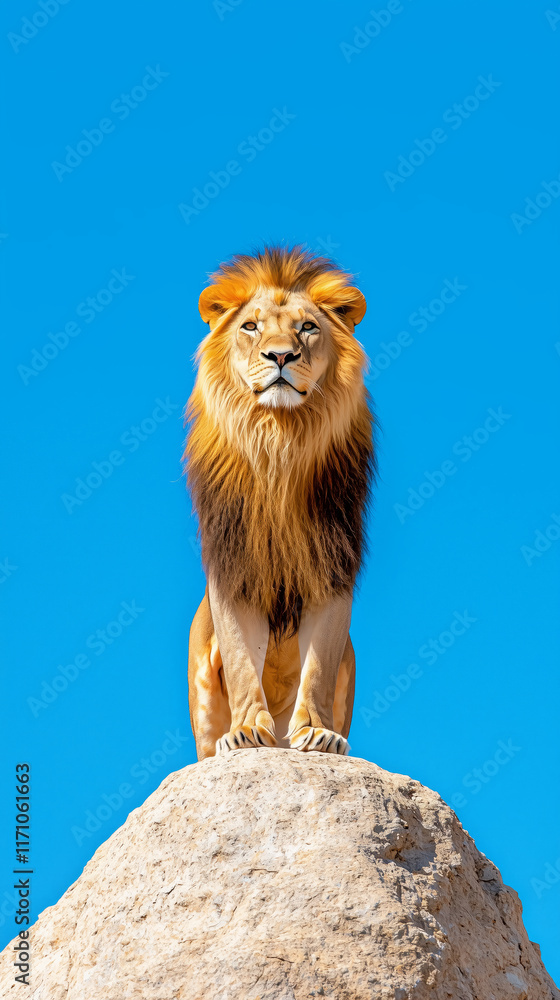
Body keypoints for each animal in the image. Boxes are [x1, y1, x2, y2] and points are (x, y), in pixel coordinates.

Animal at [184, 246, 375, 761]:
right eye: (251, 327)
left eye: (306, 327)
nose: (281, 355)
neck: (279, 441)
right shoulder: (233, 568)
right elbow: (241, 659)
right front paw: (247, 731)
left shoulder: (332, 567)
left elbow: (319, 665)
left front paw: (320, 733)